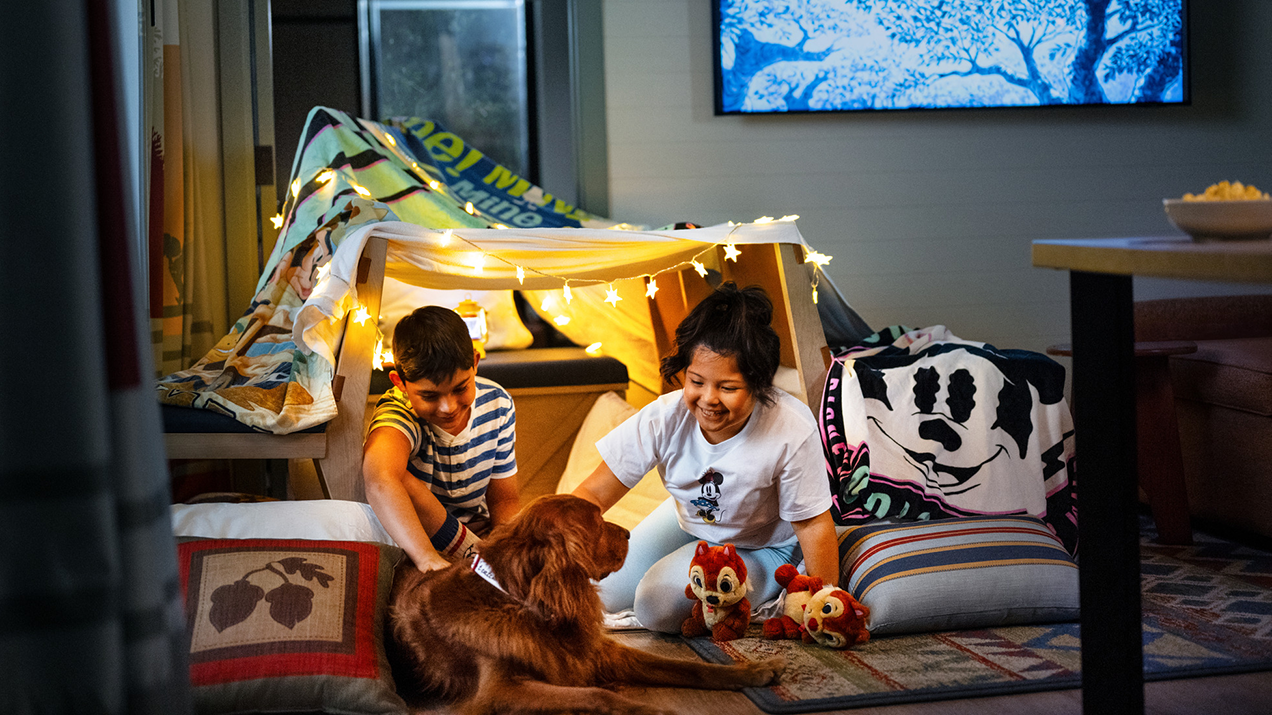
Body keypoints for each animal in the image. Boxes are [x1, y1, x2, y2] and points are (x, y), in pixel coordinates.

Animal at [386, 493, 783, 707]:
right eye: (594, 522)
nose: (628, 533)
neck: (523, 605)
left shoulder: (601, 652)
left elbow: (688, 667)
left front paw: (751, 671)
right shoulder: (499, 692)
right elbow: (597, 696)